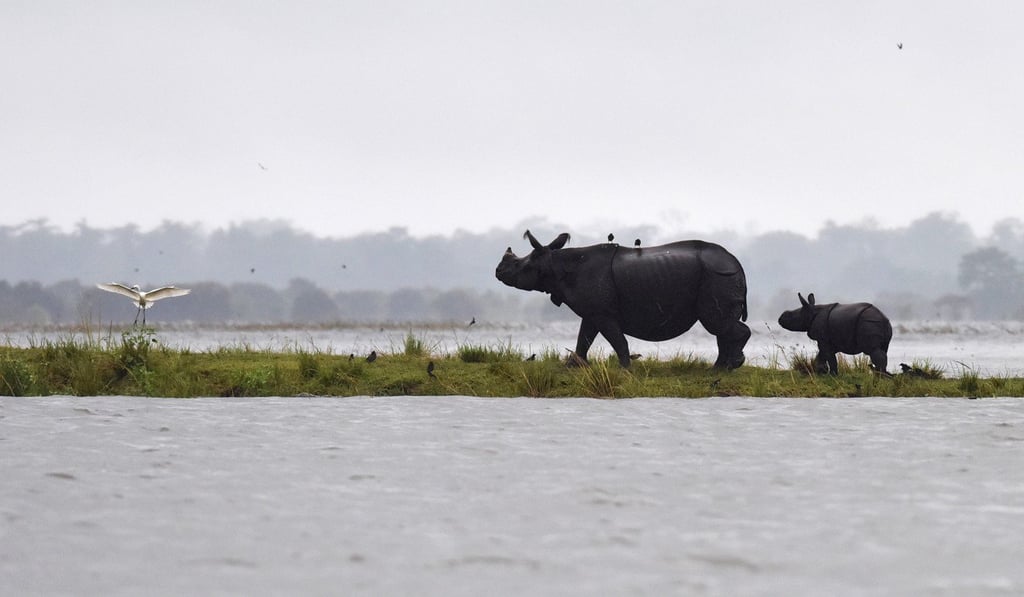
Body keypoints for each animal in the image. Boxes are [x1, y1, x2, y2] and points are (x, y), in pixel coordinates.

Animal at [495, 230, 751, 369]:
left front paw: (625, 370)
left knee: (716, 323)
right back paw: (719, 369)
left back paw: (726, 368)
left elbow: (617, 340)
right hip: (718, 276)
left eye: (519, 266)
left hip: (718, 276)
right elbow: (584, 338)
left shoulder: (603, 313)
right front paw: (573, 366)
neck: (555, 264)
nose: (498, 271)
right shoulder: (593, 311)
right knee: (720, 327)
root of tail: (738, 264)